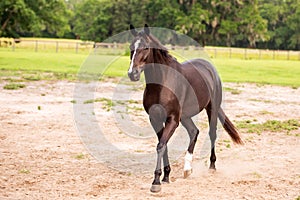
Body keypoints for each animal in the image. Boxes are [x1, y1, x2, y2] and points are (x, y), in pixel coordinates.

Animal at [127, 24, 244, 193]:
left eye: (146, 47)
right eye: (131, 47)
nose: (132, 73)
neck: (162, 83)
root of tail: (210, 68)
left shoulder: (172, 120)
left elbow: (161, 145)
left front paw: (156, 182)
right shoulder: (155, 119)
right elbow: (163, 145)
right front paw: (166, 176)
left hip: (211, 109)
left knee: (212, 134)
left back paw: (211, 166)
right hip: (185, 116)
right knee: (194, 131)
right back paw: (187, 169)